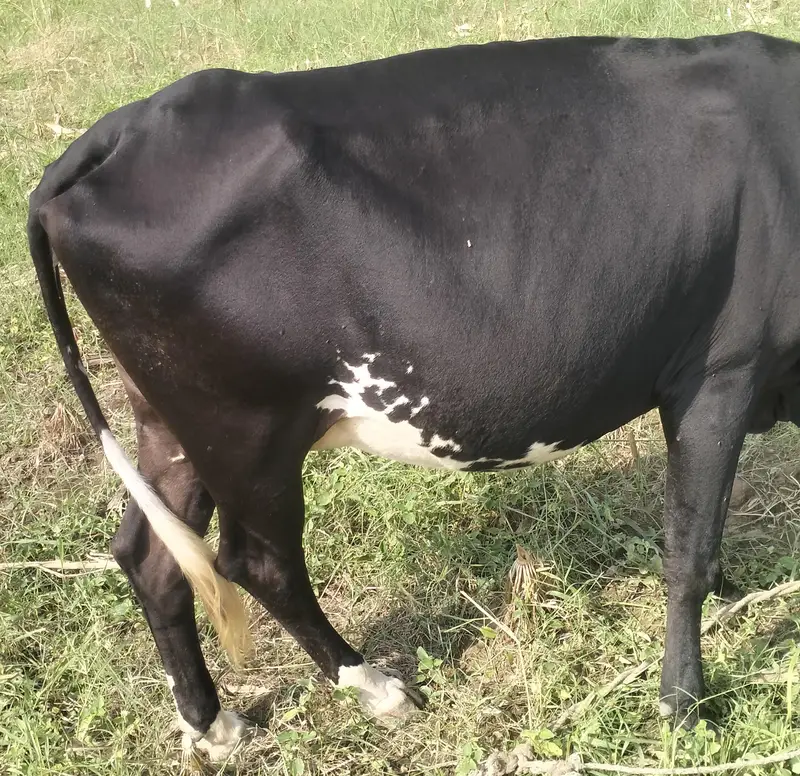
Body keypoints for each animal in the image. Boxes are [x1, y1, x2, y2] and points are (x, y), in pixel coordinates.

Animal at [27, 30, 800, 760]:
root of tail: (124, 128)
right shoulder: (724, 370)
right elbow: (690, 552)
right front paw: (683, 705)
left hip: (173, 420)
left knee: (152, 556)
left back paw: (214, 723)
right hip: (243, 427)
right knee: (258, 563)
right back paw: (375, 686)